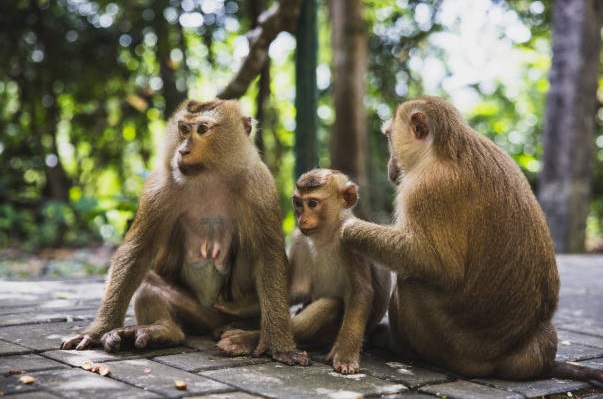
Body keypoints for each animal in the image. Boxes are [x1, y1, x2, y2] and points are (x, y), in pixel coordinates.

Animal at [60, 98, 312, 368]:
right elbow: (137, 250)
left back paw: (239, 324)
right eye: (183, 128)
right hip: (197, 315)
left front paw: (279, 345)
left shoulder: (259, 187)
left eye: (202, 129)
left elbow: (268, 254)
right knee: (148, 282)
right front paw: (97, 331)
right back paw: (162, 332)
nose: (183, 150)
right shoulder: (159, 188)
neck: (210, 177)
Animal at [216, 169, 392, 376]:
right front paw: (234, 307)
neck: (325, 237)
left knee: (330, 305)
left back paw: (244, 339)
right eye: (298, 203)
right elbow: (295, 290)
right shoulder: (299, 239)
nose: (302, 219)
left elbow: (360, 293)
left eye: (313, 204)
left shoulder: (349, 240)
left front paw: (345, 356)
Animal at [340, 95, 603, 386]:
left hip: (453, 346)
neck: (442, 150)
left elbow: (436, 265)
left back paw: (399, 346)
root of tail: (512, 355)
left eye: (389, 138)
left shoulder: (426, 191)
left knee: (411, 282)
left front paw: (349, 230)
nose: (390, 166)